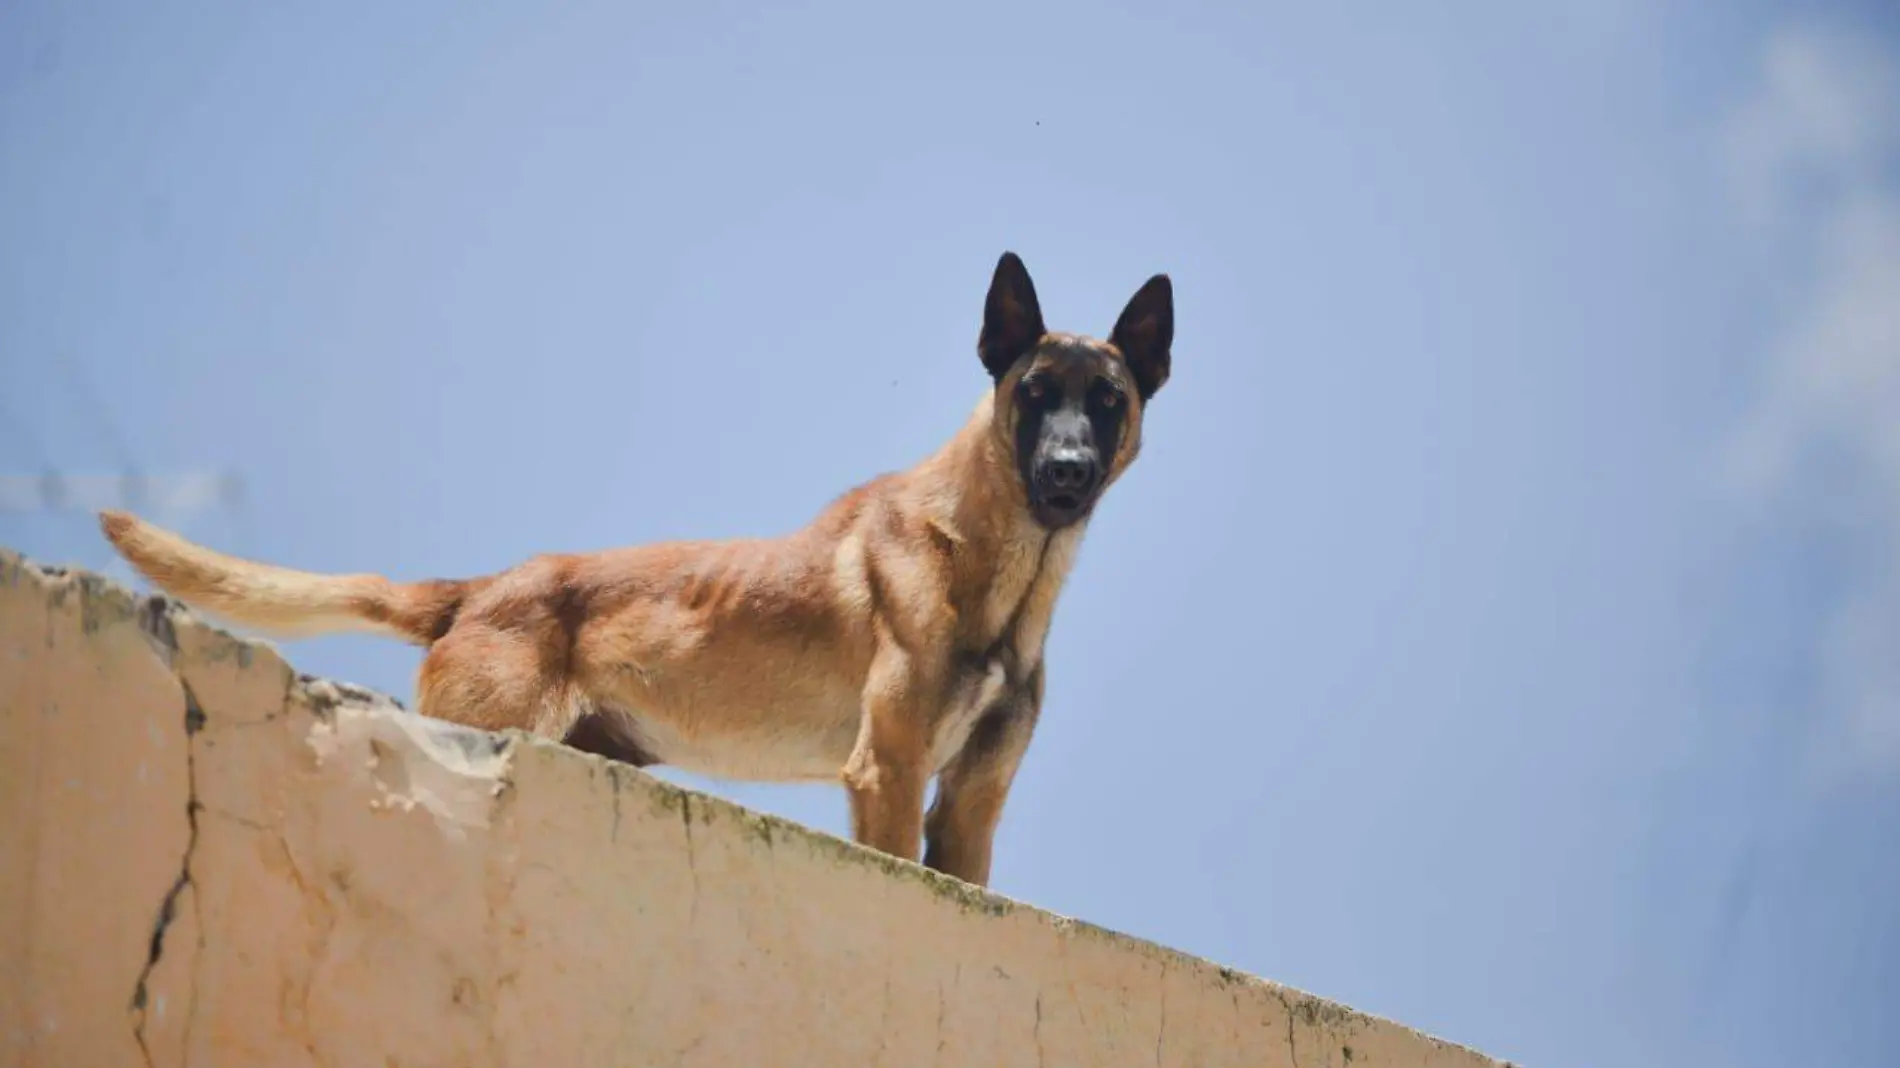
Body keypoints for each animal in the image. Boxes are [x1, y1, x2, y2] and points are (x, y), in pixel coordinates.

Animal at [104, 248, 1178, 881]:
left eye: (1107, 400)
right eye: (1034, 394)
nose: (1068, 473)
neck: (1003, 572)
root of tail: (483, 590)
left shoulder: (969, 809)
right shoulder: (890, 772)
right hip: (490, 728)